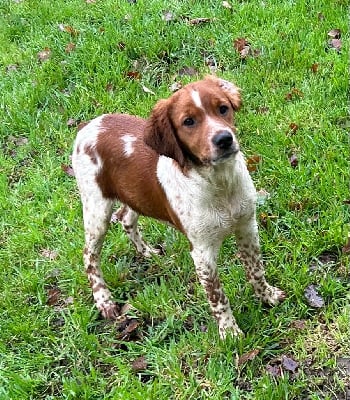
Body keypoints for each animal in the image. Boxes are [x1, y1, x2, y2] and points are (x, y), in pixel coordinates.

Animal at [72, 76, 286, 340]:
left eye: (223, 108)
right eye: (188, 122)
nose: (224, 139)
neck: (219, 183)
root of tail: (89, 125)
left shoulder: (247, 227)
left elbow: (255, 269)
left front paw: (267, 296)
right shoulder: (202, 253)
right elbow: (218, 297)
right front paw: (230, 333)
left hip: (134, 195)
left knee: (125, 217)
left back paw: (147, 252)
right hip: (96, 209)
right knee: (89, 255)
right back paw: (104, 300)